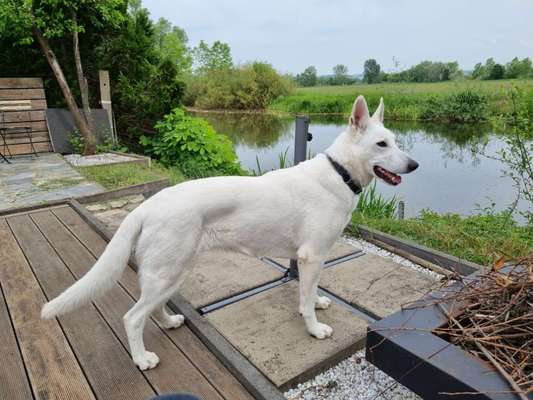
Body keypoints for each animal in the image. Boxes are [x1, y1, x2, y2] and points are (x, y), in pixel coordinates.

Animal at [41, 95, 418, 370]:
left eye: (396, 142)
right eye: (382, 144)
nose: (414, 165)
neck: (339, 172)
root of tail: (148, 205)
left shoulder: (315, 259)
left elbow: (309, 294)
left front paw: (317, 303)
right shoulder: (311, 257)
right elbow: (305, 300)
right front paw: (313, 329)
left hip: (171, 273)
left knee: (152, 308)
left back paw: (168, 323)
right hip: (167, 273)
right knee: (133, 318)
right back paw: (142, 359)